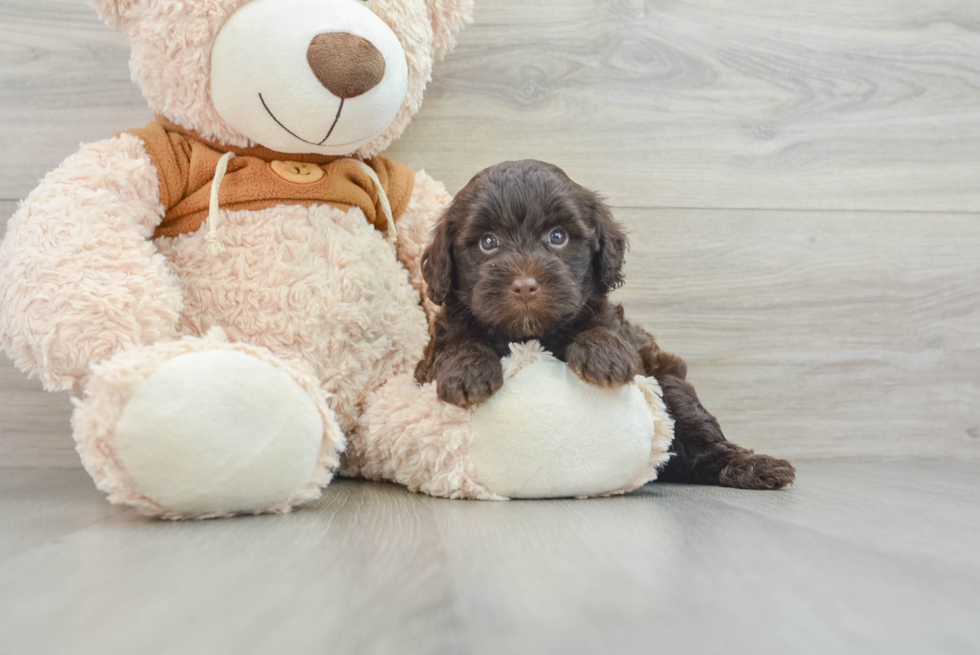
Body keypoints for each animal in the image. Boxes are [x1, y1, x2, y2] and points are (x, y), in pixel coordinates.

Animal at [416, 159, 796, 490]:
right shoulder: (430, 356)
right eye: (488, 242)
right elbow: (455, 341)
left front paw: (605, 355)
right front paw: (468, 370)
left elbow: (604, 325)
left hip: (670, 384)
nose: (525, 285)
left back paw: (753, 466)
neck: (532, 334)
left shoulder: (626, 337)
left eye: (557, 237)